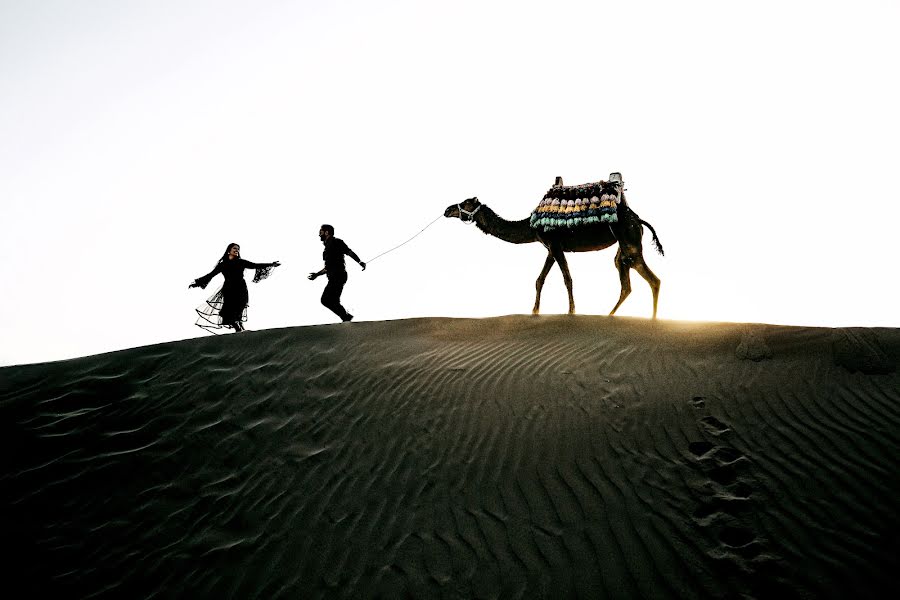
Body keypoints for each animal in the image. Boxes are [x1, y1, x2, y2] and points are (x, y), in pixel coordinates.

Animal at [442, 177, 660, 318]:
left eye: (466, 203)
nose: (447, 209)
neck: (530, 225)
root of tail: (638, 220)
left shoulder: (554, 245)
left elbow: (567, 279)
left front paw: (571, 312)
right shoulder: (550, 248)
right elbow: (539, 280)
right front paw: (534, 311)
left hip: (630, 240)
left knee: (652, 280)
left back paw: (651, 320)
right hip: (623, 248)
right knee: (627, 283)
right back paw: (612, 315)